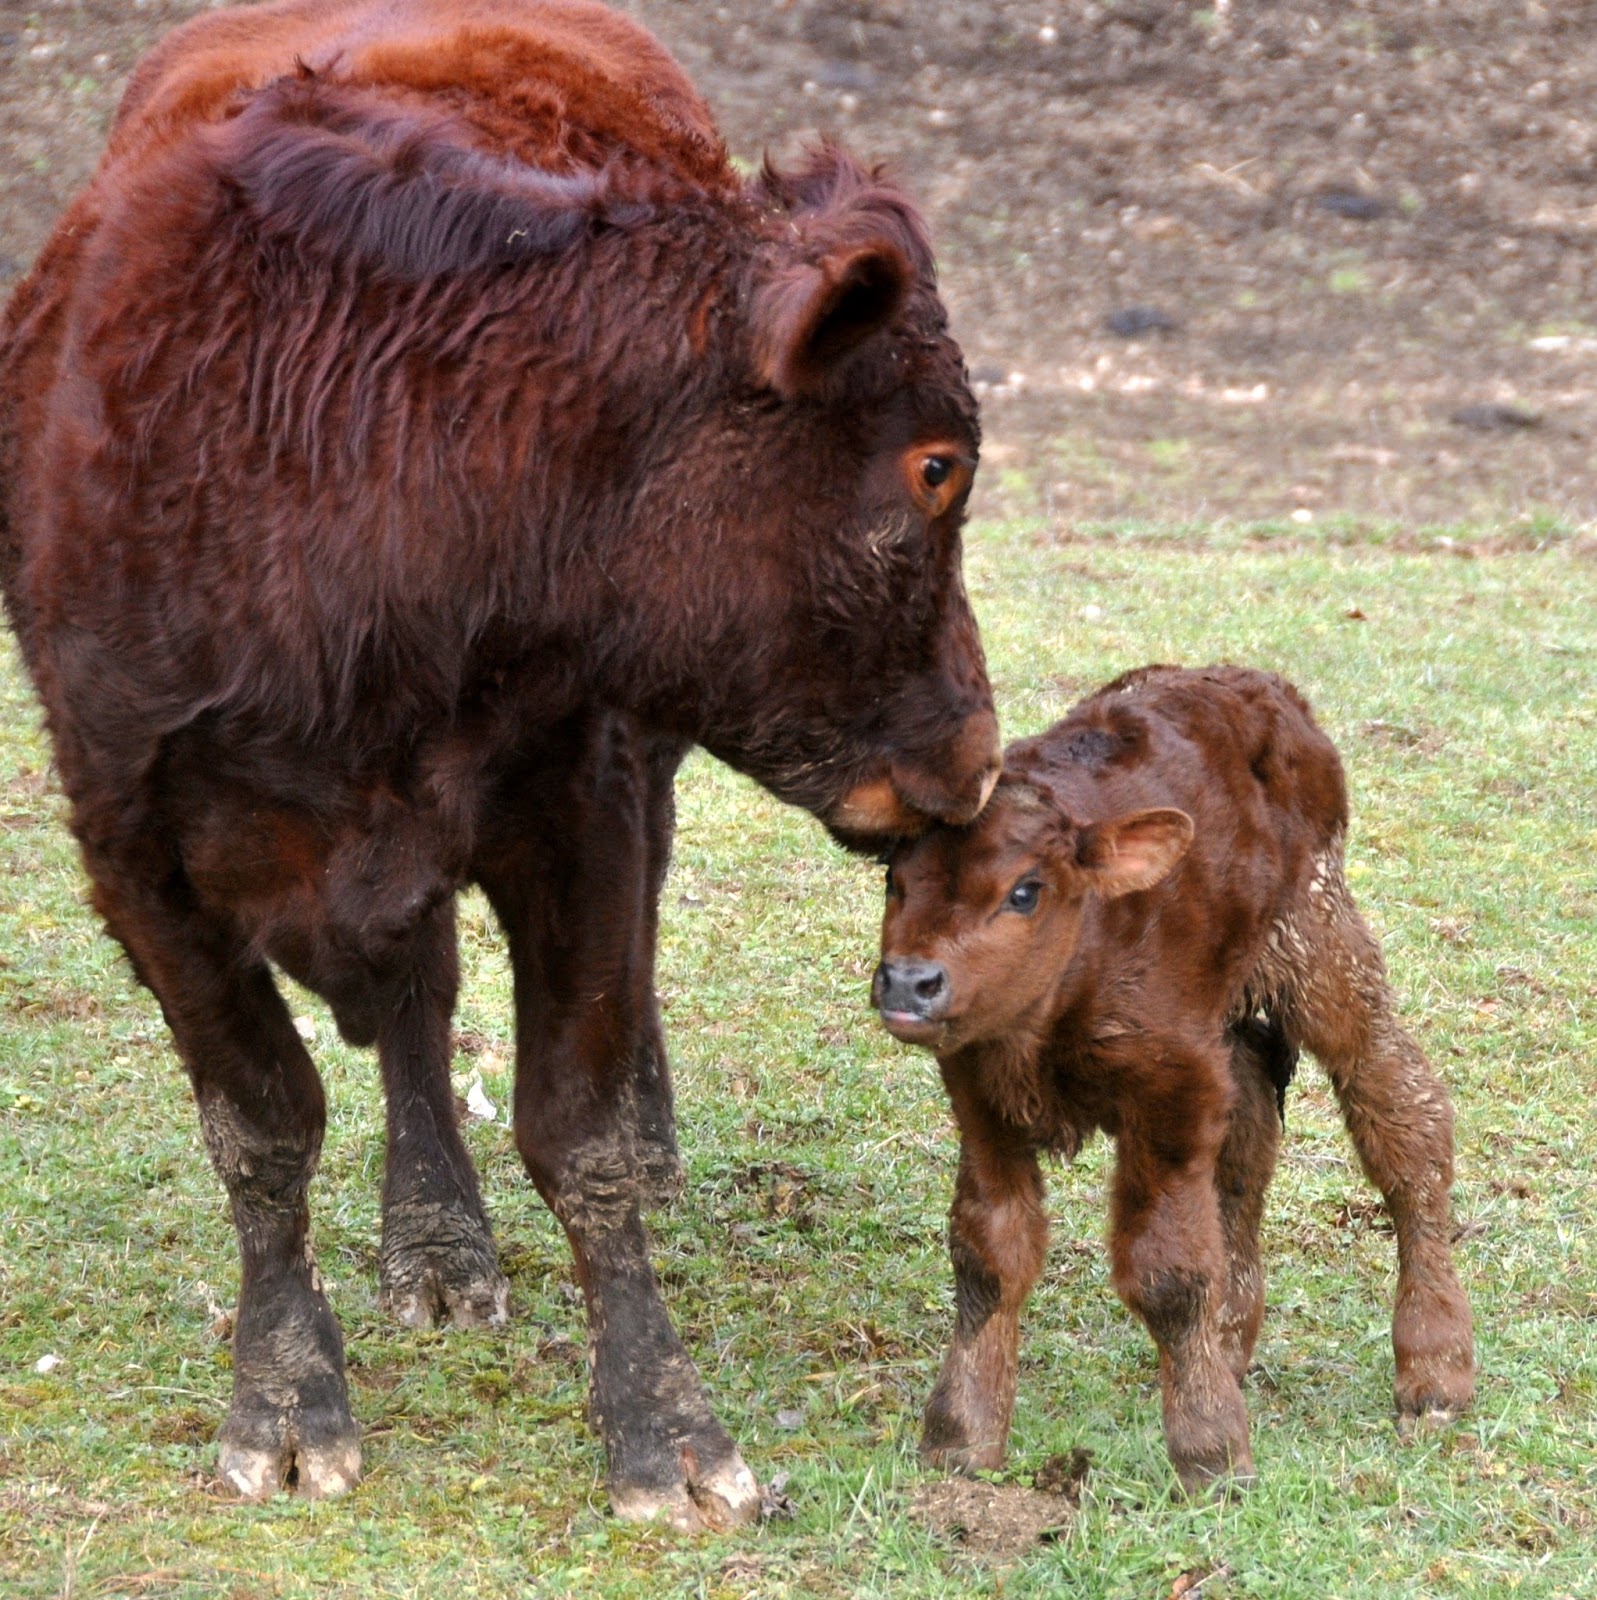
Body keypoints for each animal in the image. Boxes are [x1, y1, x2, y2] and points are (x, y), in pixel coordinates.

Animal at [0, 0, 1001, 1529]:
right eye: (934, 466)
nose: (979, 750)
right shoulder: (135, 849)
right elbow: (261, 1126)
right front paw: (285, 1395)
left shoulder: (575, 800)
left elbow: (574, 1125)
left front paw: (663, 1422)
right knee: (415, 1015)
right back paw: (435, 1239)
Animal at [873, 666, 1474, 1491]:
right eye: (895, 882)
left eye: (1025, 891)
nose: (908, 983)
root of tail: (1259, 685)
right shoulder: (979, 1094)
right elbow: (988, 1252)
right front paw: (959, 1437)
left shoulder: (1174, 1086)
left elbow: (1167, 1269)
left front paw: (1210, 1452)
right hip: (1233, 1016)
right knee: (1251, 1139)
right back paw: (1230, 1348)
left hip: (1320, 943)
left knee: (1401, 1116)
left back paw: (1434, 1370)